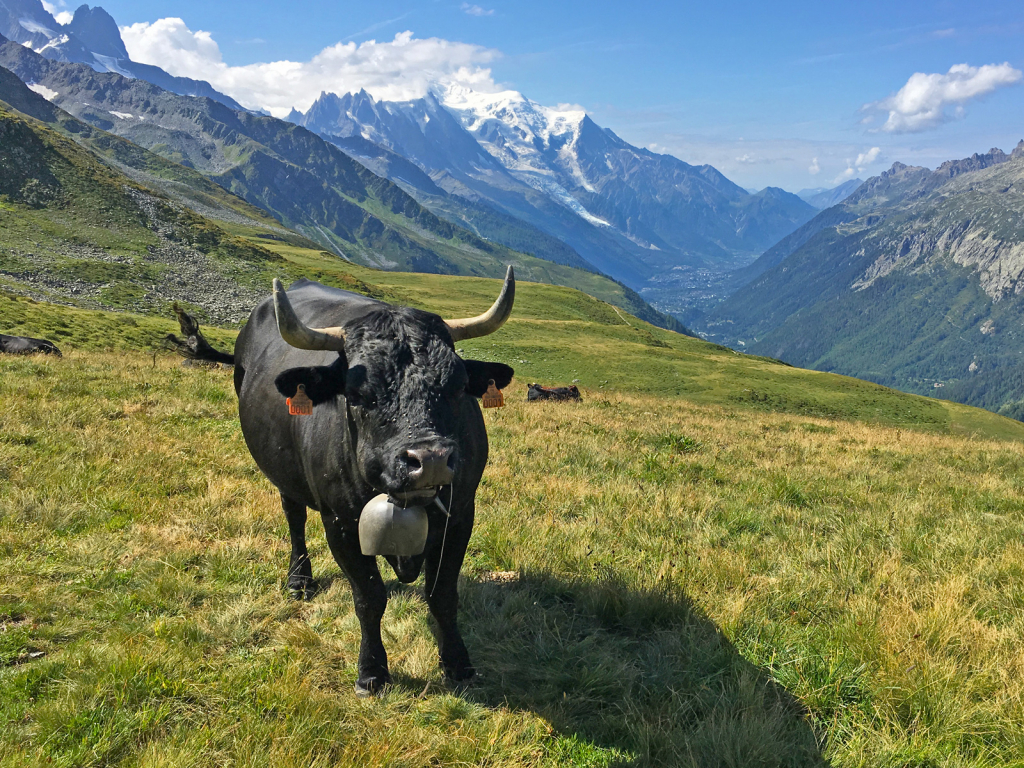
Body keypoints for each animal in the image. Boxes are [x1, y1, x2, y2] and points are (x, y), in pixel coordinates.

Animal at [169, 268, 520, 696]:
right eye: (358, 393)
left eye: (456, 386)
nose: (430, 460)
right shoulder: (340, 523)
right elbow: (369, 597)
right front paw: (371, 672)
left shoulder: (461, 515)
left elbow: (442, 594)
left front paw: (458, 662)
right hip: (285, 478)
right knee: (293, 517)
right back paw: (299, 580)